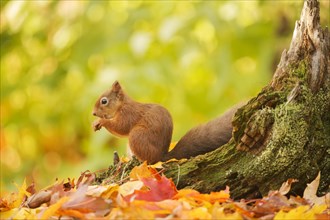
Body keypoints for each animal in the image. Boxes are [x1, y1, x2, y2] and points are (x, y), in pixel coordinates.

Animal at [93, 81, 242, 163]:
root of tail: (162, 156)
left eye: (104, 101)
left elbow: (121, 127)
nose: (93, 113)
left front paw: (101, 121)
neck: (122, 105)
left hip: (137, 136)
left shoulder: (128, 113)